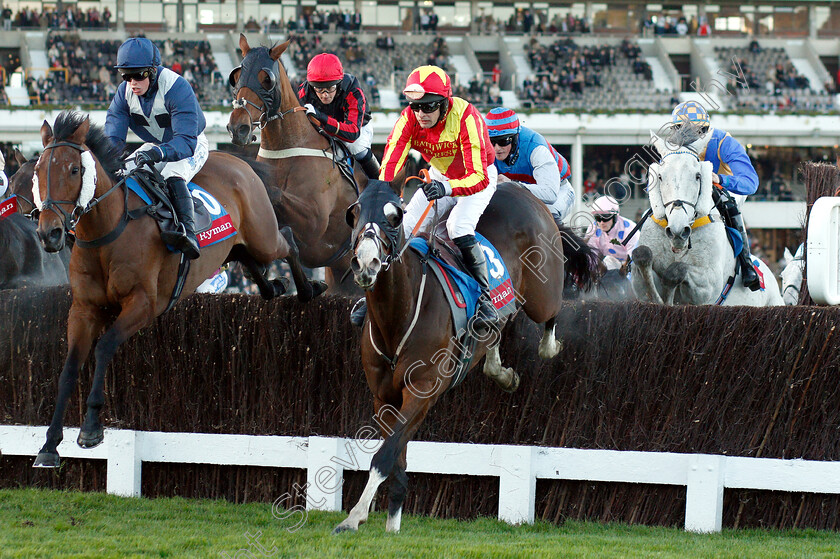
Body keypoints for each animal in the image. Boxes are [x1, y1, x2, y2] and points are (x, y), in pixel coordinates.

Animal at [30, 109, 324, 468]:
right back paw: (275, 286)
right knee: (251, 263)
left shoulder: (143, 305)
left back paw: (308, 289)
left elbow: (104, 347)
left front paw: (90, 428)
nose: (49, 233)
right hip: (236, 246)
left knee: (288, 241)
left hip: (263, 237)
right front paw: (49, 445)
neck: (109, 231)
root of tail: (238, 161)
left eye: (74, 170)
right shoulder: (84, 310)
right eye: (38, 171)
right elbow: (70, 367)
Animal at [226, 34, 364, 298]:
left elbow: (275, 194)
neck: (287, 149)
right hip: (341, 280)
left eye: (266, 79)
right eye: (236, 77)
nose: (239, 128)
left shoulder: (314, 224)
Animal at [334, 179, 596, 532]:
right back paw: (501, 370)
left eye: (394, 216)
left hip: (543, 292)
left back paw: (548, 346)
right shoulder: (383, 397)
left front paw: (354, 516)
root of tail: (520, 188)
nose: (365, 263)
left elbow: (384, 456)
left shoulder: (422, 391)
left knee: (550, 314)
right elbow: (396, 459)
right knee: (498, 327)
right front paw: (392, 524)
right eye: (354, 213)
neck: (398, 317)